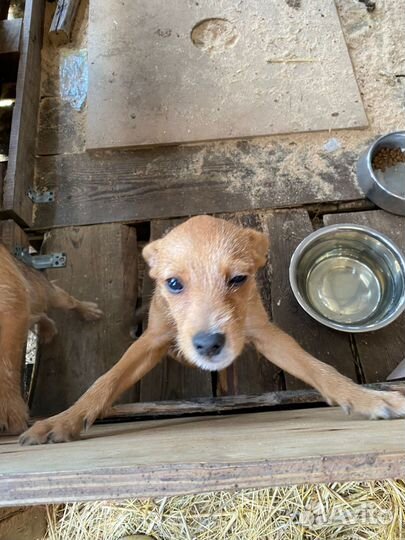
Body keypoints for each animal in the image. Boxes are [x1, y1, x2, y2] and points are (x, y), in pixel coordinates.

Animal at [0, 245, 102, 434]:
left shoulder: (12, 301)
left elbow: (6, 365)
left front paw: (9, 410)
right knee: (40, 315)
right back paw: (48, 330)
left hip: (51, 294)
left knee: (68, 300)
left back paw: (89, 311)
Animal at [20, 216, 404, 448]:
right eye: (174, 284)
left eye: (239, 279)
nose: (209, 344)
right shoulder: (151, 340)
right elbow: (105, 381)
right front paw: (62, 420)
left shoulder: (266, 334)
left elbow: (319, 368)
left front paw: (367, 398)